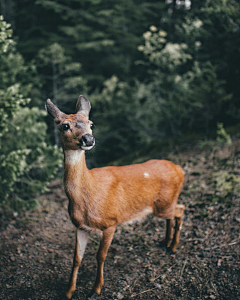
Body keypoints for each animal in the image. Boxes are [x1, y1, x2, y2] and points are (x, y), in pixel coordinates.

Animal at [45, 96, 185, 300]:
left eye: (91, 123)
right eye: (64, 125)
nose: (88, 139)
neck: (87, 196)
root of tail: (180, 169)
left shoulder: (111, 221)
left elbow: (100, 256)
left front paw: (96, 288)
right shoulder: (80, 226)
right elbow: (76, 258)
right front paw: (69, 291)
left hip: (165, 203)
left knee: (181, 210)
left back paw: (173, 247)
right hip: (162, 206)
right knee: (173, 215)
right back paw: (165, 242)